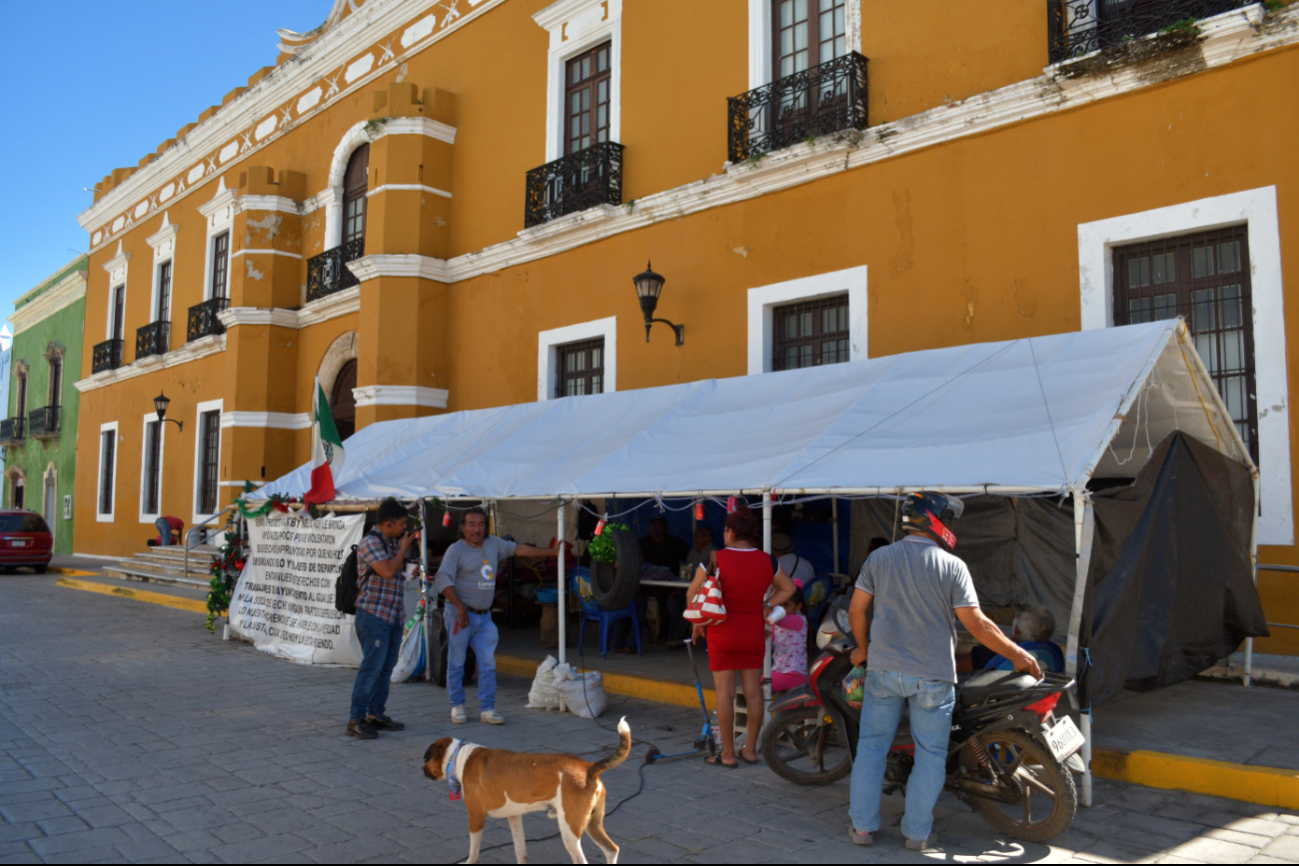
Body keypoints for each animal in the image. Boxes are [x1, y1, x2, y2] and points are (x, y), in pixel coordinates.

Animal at [423, 716, 631, 862]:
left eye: (426, 758)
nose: (422, 769)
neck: (459, 757)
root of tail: (588, 767)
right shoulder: (514, 816)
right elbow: (520, 851)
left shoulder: (476, 818)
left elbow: (474, 854)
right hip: (592, 824)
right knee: (612, 850)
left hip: (570, 829)